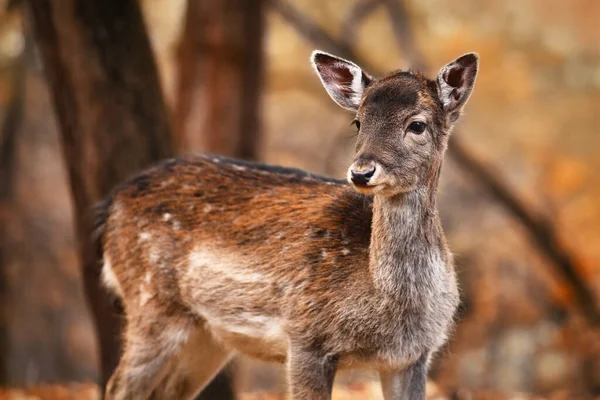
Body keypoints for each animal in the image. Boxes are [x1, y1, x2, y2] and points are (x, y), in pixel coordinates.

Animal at [98, 50, 478, 400]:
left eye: (417, 124)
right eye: (357, 121)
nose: (361, 172)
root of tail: (112, 204)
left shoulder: (413, 356)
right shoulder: (305, 337)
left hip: (206, 334)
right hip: (151, 303)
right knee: (118, 386)